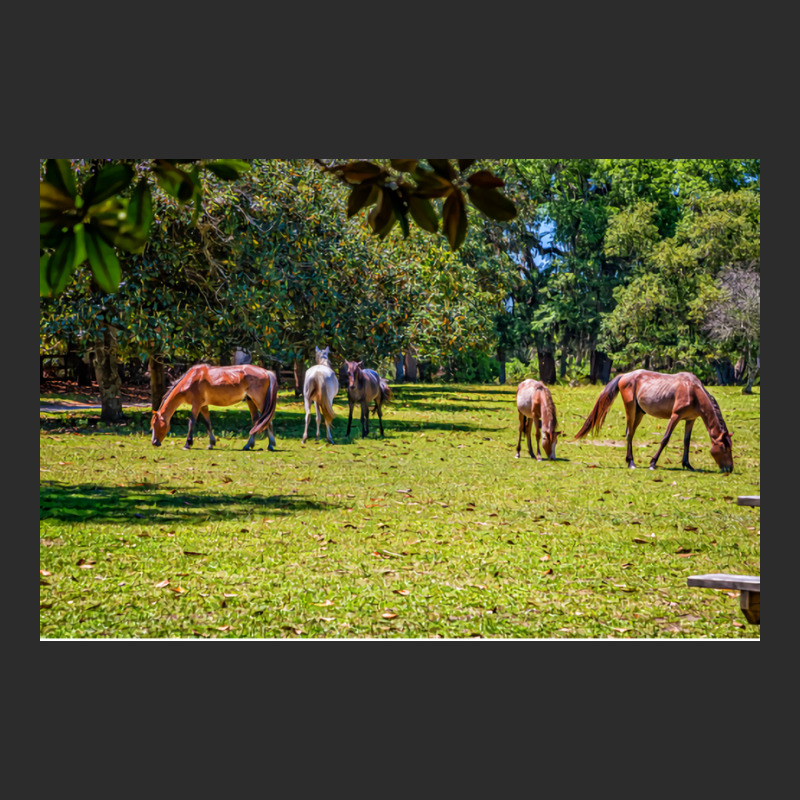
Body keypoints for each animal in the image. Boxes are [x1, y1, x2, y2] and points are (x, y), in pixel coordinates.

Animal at [152, 362, 280, 450]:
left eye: (154, 424)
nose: (154, 442)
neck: (191, 379)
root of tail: (266, 372)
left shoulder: (196, 404)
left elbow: (191, 422)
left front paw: (187, 444)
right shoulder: (203, 406)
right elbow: (208, 423)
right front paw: (211, 444)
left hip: (259, 401)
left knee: (267, 420)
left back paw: (270, 445)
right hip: (250, 401)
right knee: (256, 421)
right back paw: (248, 445)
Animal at [572, 370, 736, 472]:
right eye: (724, 448)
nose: (729, 469)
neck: (693, 390)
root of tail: (625, 375)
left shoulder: (690, 419)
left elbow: (686, 442)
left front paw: (687, 465)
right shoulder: (675, 416)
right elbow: (665, 439)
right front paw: (652, 463)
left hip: (639, 413)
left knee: (630, 433)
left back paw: (629, 460)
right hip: (631, 409)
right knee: (629, 433)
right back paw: (631, 463)